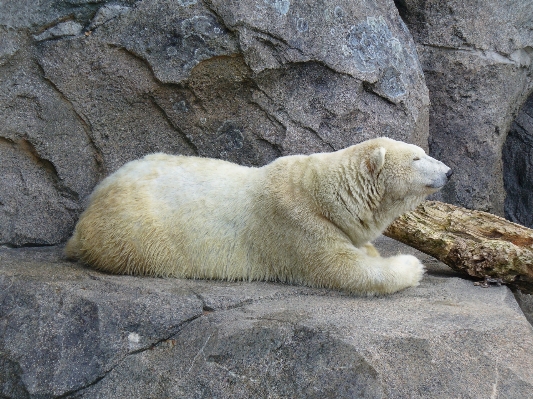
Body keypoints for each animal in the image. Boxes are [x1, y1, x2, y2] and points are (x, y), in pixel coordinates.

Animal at [64, 138, 450, 296]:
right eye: (417, 158)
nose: (448, 171)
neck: (319, 191)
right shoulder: (296, 226)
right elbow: (345, 269)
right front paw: (411, 266)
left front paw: (369, 248)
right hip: (134, 233)